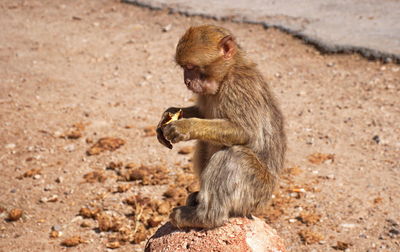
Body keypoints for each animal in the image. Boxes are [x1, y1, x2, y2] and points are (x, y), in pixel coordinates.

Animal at [157, 25, 288, 228]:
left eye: (191, 67)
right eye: (184, 68)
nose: (187, 81)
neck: (227, 73)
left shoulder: (238, 87)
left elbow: (246, 132)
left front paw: (185, 127)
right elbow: (203, 114)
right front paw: (169, 114)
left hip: (256, 192)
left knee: (234, 155)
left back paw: (204, 217)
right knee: (205, 142)